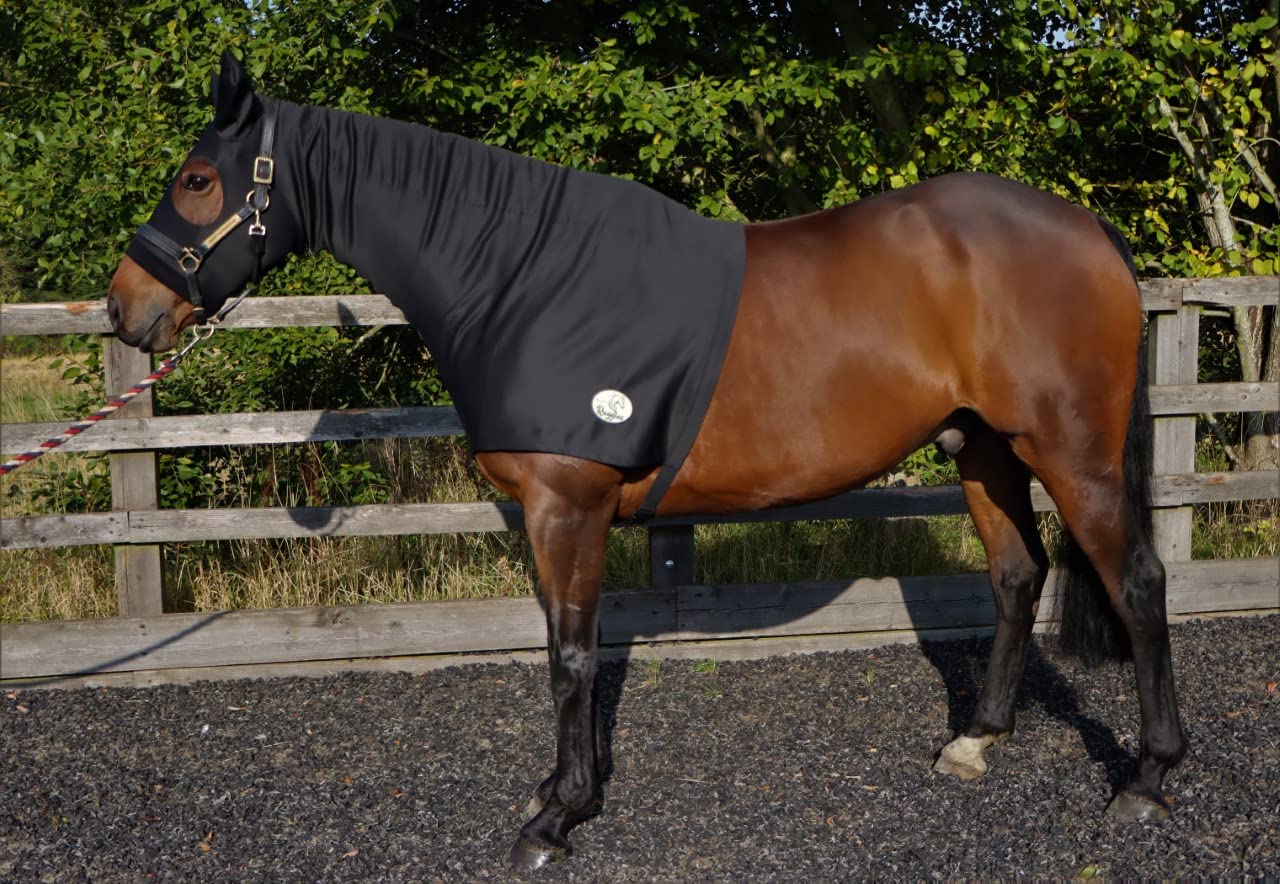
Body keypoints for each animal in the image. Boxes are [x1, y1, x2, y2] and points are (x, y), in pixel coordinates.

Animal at [107, 52, 1186, 870]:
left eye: (198, 179)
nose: (124, 308)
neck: (520, 276)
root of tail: (1083, 227)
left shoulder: (566, 506)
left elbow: (574, 655)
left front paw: (558, 816)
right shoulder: (549, 518)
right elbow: (559, 644)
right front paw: (558, 787)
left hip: (1071, 455)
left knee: (1135, 581)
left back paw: (1146, 778)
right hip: (983, 450)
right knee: (1016, 575)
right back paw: (976, 739)